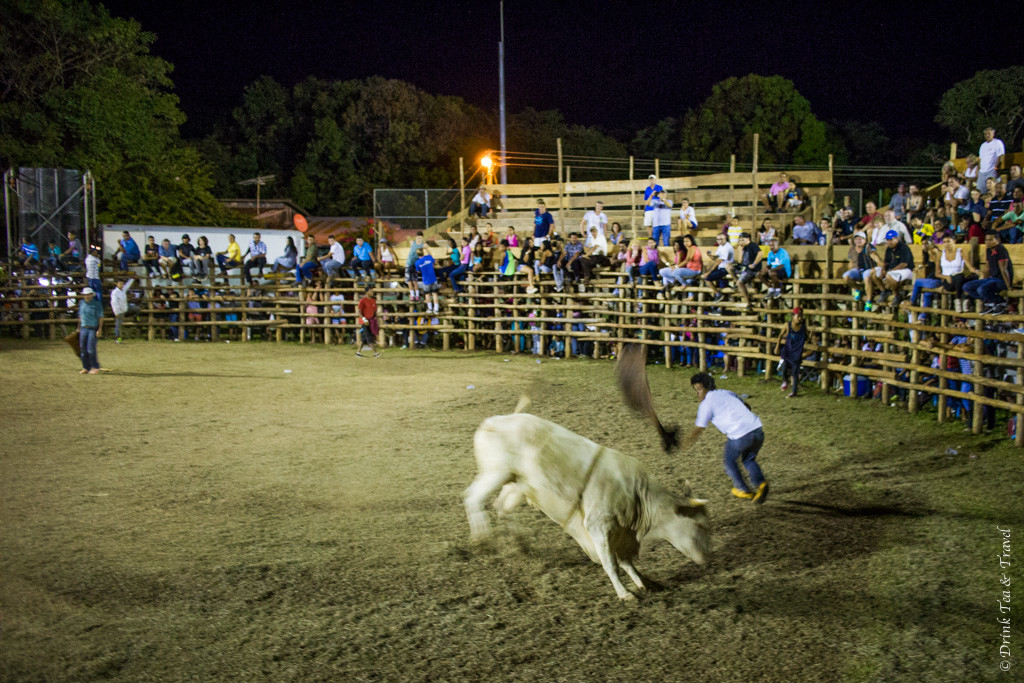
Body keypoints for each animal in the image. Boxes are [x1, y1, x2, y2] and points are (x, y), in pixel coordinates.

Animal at [466, 411, 712, 598]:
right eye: (700, 525)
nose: (707, 559)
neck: (640, 500)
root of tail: (491, 422)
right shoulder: (597, 526)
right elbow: (610, 562)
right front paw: (625, 594)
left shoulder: (621, 532)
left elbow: (625, 561)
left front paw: (645, 582)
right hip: (495, 473)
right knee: (473, 498)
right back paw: (481, 539)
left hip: (515, 484)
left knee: (501, 506)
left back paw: (519, 542)